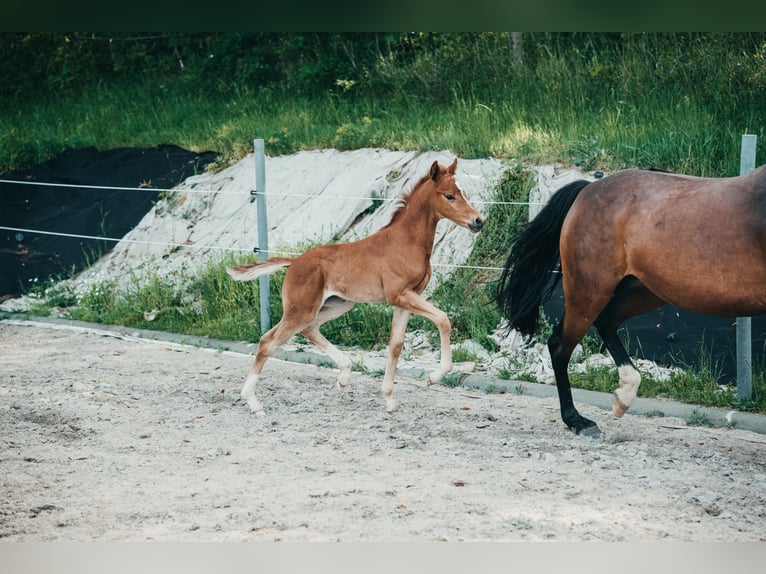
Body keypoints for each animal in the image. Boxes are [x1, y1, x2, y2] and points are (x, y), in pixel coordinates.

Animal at [227, 158, 485, 415]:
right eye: (449, 196)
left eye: (464, 193)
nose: (478, 221)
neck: (407, 242)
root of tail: (294, 261)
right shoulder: (400, 295)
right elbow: (443, 319)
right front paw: (433, 377)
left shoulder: (406, 299)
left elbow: (396, 344)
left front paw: (389, 399)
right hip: (302, 309)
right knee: (268, 342)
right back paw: (253, 402)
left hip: (337, 305)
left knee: (308, 330)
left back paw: (343, 375)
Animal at [495, 164, 766, 437]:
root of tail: (587, 190)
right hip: (590, 290)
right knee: (561, 345)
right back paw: (578, 420)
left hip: (646, 290)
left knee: (606, 321)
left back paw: (623, 395)